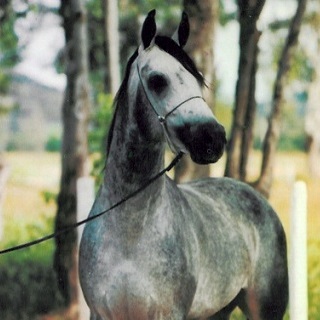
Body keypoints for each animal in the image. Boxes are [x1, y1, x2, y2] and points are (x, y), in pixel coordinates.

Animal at [79, 10, 288, 320]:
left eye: (197, 80)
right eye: (157, 80)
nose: (212, 138)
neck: (129, 233)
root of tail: (258, 200)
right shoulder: (101, 313)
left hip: (265, 309)